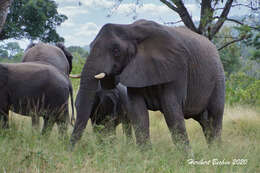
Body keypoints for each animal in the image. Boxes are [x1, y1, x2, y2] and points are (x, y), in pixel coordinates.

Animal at [71, 19, 225, 151]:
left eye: (116, 51)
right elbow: (138, 112)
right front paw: (146, 156)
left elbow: (172, 111)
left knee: (214, 117)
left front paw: (185, 159)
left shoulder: (176, 70)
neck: (129, 29)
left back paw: (215, 153)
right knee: (206, 123)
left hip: (218, 77)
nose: (70, 151)